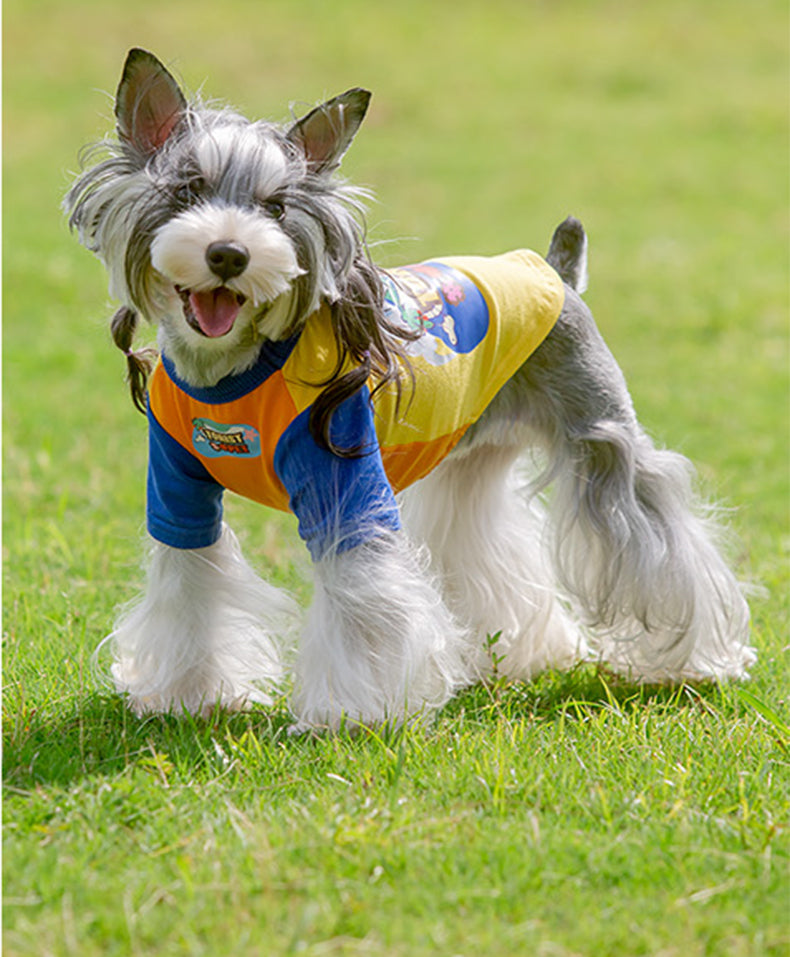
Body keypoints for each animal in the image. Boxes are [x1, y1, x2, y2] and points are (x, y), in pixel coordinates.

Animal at [66, 48, 756, 728]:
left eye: (278, 208)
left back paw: (693, 661)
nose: (230, 254)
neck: (234, 365)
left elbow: (362, 599)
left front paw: (356, 711)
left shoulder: (344, 487)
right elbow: (190, 583)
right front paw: (186, 695)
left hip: (603, 438)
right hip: (471, 461)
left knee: (657, 535)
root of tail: (552, 271)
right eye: (186, 190)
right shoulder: (178, 490)